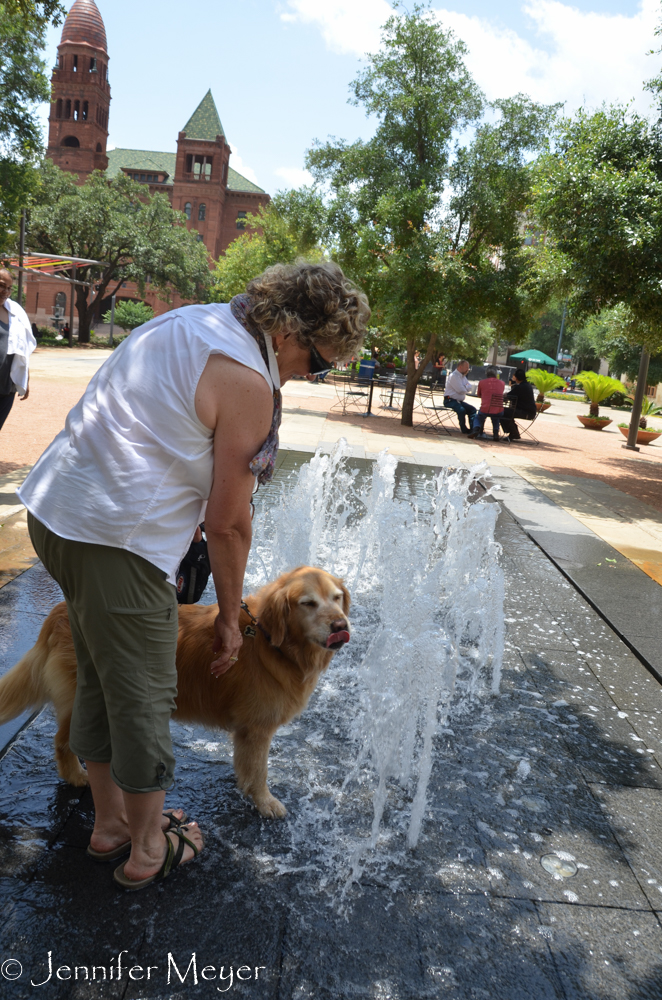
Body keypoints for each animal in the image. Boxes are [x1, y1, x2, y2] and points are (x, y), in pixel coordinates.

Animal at [0, 568, 352, 816]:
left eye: (336, 598)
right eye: (308, 603)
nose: (340, 626)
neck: (268, 638)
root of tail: (57, 613)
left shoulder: (246, 731)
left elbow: (245, 766)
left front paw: (246, 789)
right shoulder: (258, 728)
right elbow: (260, 770)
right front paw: (265, 802)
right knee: (62, 742)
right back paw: (75, 776)